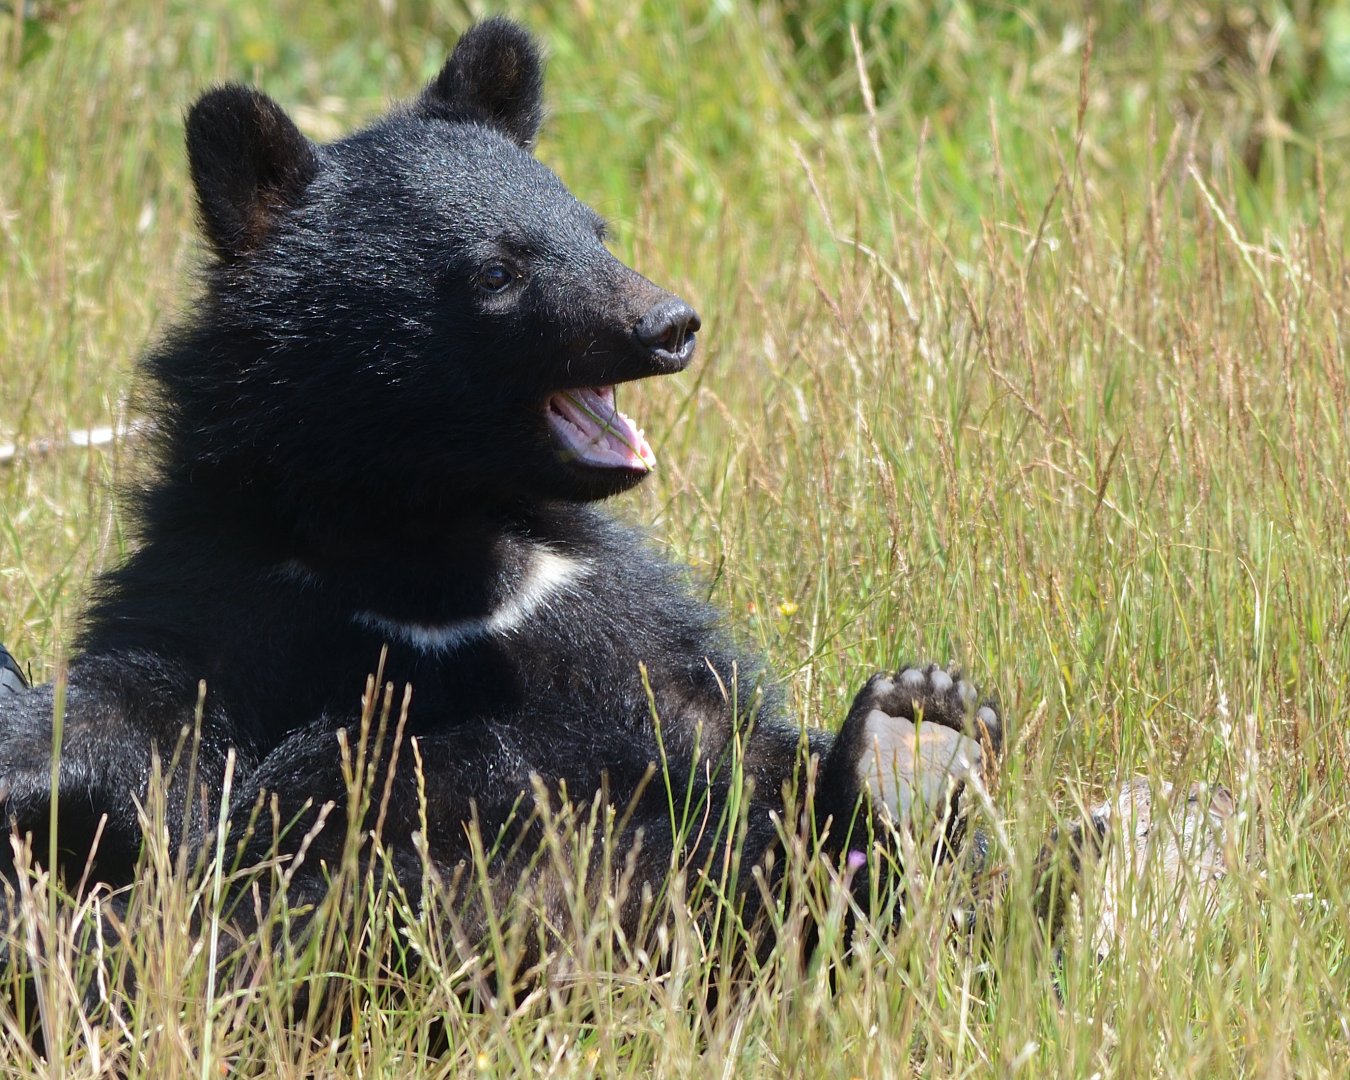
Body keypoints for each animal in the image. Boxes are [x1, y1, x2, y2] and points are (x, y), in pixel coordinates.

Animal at [0, 18, 1001, 969]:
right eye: (497, 271)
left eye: (595, 232)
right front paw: (25, 760)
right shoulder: (238, 592)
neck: (424, 530)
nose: (669, 325)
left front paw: (920, 721)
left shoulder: (591, 606)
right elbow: (143, 714)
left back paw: (908, 752)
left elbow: (724, 731)